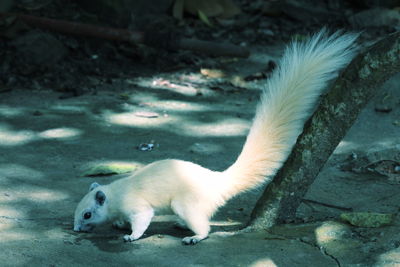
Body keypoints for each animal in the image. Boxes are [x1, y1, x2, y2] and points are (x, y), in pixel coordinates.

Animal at [74, 29, 360, 245]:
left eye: (87, 214)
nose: (76, 229)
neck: (116, 193)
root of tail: (217, 184)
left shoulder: (137, 205)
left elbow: (143, 220)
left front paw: (131, 235)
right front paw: (120, 225)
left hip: (185, 203)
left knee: (204, 226)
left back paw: (193, 236)